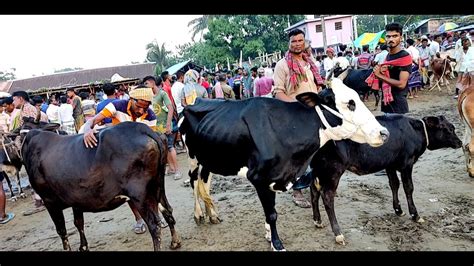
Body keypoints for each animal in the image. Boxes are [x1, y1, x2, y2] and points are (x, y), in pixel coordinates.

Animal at [19, 119, 181, 250]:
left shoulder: (49, 201)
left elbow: (62, 230)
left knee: (154, 225)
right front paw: (83, 247)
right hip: (158, 185)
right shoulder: (76, 199)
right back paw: (175, 242)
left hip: (140, 194)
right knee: (167, 210)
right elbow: (78, 223)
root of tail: (142, 128)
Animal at [178, 78, 388, 250]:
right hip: (192, 157)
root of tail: (196, 100)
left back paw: (212, 215)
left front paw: (269, 236)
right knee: (193, 181)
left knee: (205, 182)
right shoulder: (260, 178)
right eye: (350, 103)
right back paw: (198, 215)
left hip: (208, 158)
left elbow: (270, 211)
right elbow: (272, 214)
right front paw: (277, 244)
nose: (384, 132)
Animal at [310, 115, 462, 245]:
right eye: (449, 129)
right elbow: (408, 187)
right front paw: (415, 215)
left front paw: (398, 210)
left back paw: (318, 221)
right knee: (327, 197)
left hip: (317, 170)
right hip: (333, 171)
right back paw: (338, 234)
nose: (460, 142)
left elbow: (394, 184)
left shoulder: (390, 164)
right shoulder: (407, 164)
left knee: (314, 192)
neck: (414, 130)